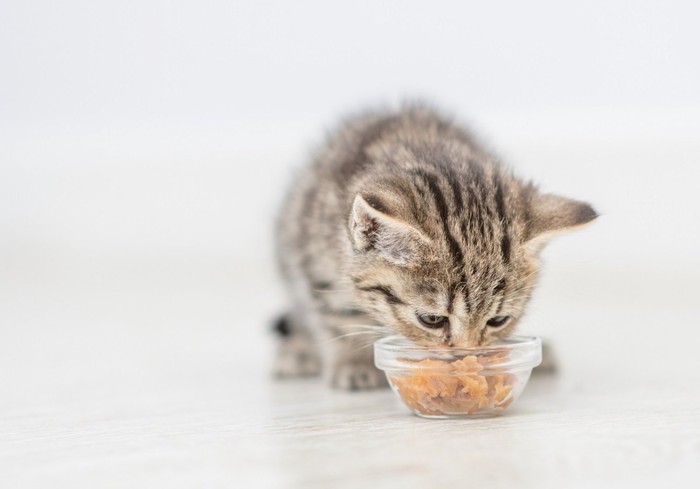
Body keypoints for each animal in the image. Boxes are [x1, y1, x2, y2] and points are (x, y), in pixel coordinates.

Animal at [274, 104, 596, 388]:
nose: (464, 356)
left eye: (498, 320)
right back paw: (298, 350)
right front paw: (354, 360)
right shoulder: (314, 256)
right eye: (431, 320)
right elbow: (338, 316)